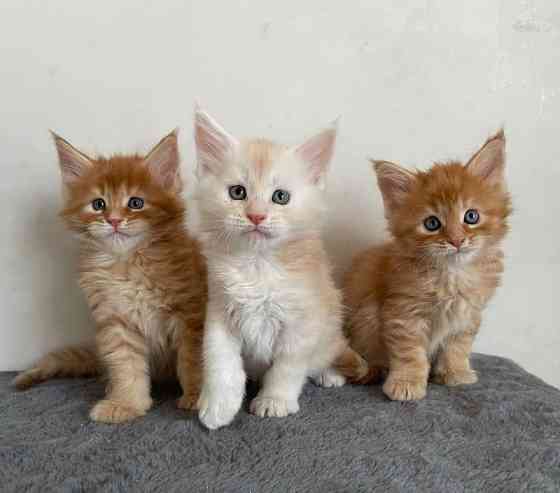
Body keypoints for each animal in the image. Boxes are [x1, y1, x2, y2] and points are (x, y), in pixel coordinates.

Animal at [15, 131, 208, 422]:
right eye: (98, 204)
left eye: (136, 203)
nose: (114, 220)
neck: (126, 263)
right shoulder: (116, 322)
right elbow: (126, 366)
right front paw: (126, 403)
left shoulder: (190, 315)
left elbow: (193, 361)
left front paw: (198, 397)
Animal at [190, 106, 370, 426]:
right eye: (238, 192)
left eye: (280, 197)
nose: (256, 216)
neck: (257, 264)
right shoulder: (219, 312)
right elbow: (220, 361)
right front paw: (218, 406)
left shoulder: (302, 322)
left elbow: (287, 367)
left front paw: (274, 401)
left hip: (330, 326)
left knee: (329, 352)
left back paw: (329, 374)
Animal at [344, 130, 510, 400]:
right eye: (432, 223)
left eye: (471, 216)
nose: (456, 240)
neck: (452, 276)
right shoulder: (402, 314)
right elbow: (410, 354)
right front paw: (407, 382)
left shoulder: (468, 315)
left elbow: (458, 346)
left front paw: (455, 372)